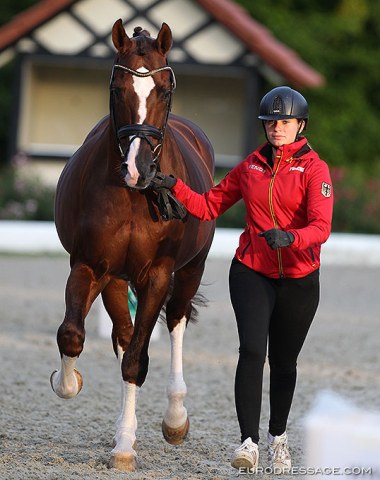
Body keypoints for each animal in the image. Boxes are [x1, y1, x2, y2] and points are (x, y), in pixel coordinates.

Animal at [50, 20, 215, 470]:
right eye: (117, 89)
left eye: (164, 90)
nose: (137, 169)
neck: (129, 197)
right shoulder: (90, 266)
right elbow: (72, 335)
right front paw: (69, 383)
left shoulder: (157, 276)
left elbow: (137, 359)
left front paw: (125, 447)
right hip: (116, 281)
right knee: (123, 336)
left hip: (190, 270)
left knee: (175, 321)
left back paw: (174, 418)